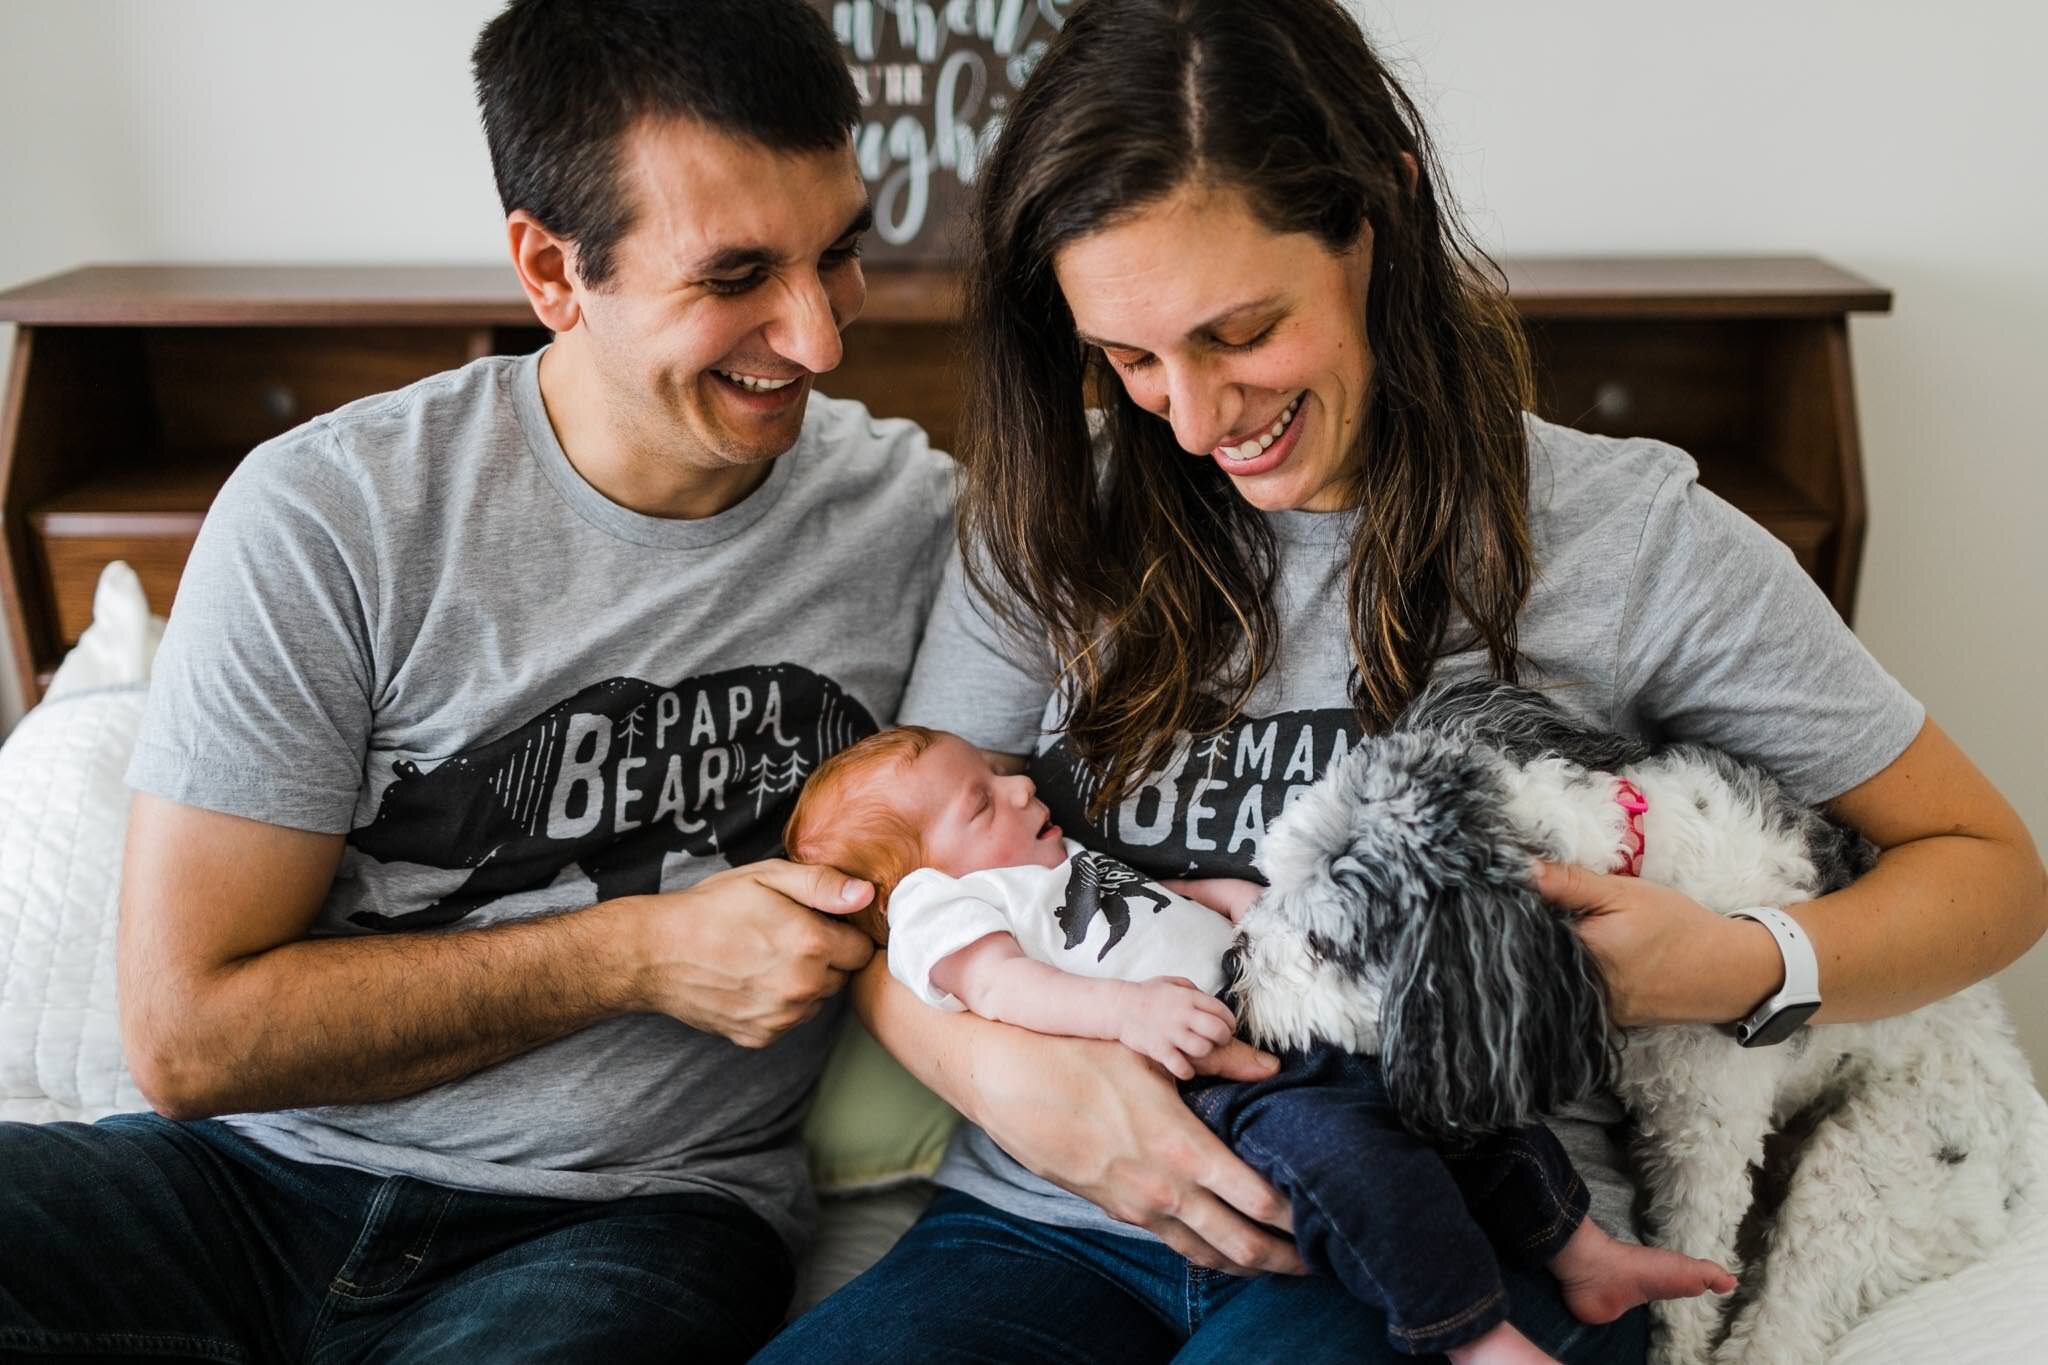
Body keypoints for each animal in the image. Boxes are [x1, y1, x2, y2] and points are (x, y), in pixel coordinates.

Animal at [1228, 683, 2031, 1365]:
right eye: (1272, 874)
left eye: (1326, 945)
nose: (1234, 965)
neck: (1636, 864)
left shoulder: (1706, 1142)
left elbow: (1689, 1287)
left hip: (1868, 1174)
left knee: (1782, 1320)